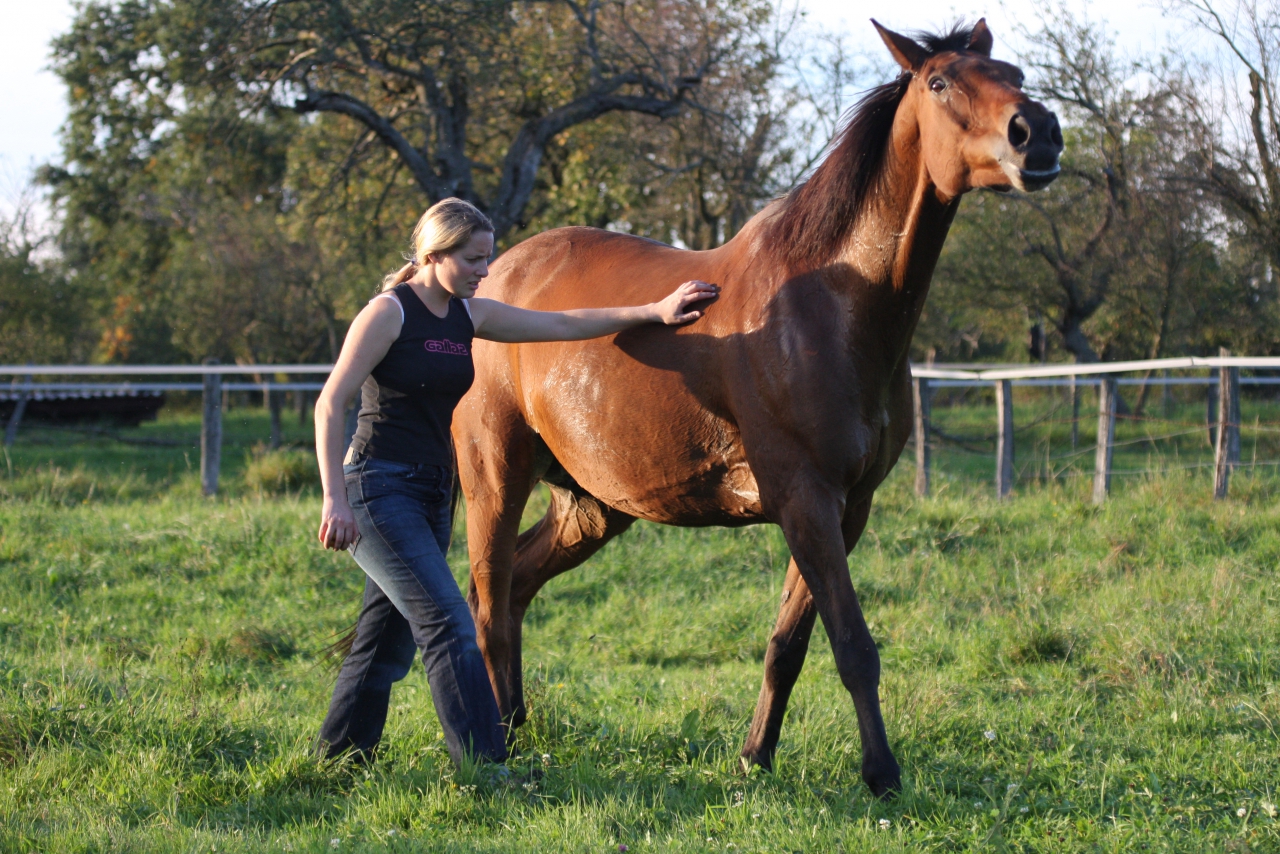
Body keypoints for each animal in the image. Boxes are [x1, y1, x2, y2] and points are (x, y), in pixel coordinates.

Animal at [453, 19, 1062, 796]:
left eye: (1014, 73)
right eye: (940, 82)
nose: (1036, 134)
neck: (829, 305)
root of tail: (488, 279)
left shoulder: (845, 509)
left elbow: (788, 644)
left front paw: (755, 757)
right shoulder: (806, 499)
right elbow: (853, 644)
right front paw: (882, 774)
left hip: (591, 506)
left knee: (517, 593)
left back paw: (517, 728)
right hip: (495, 479)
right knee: (489, 602)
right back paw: (494, 745)